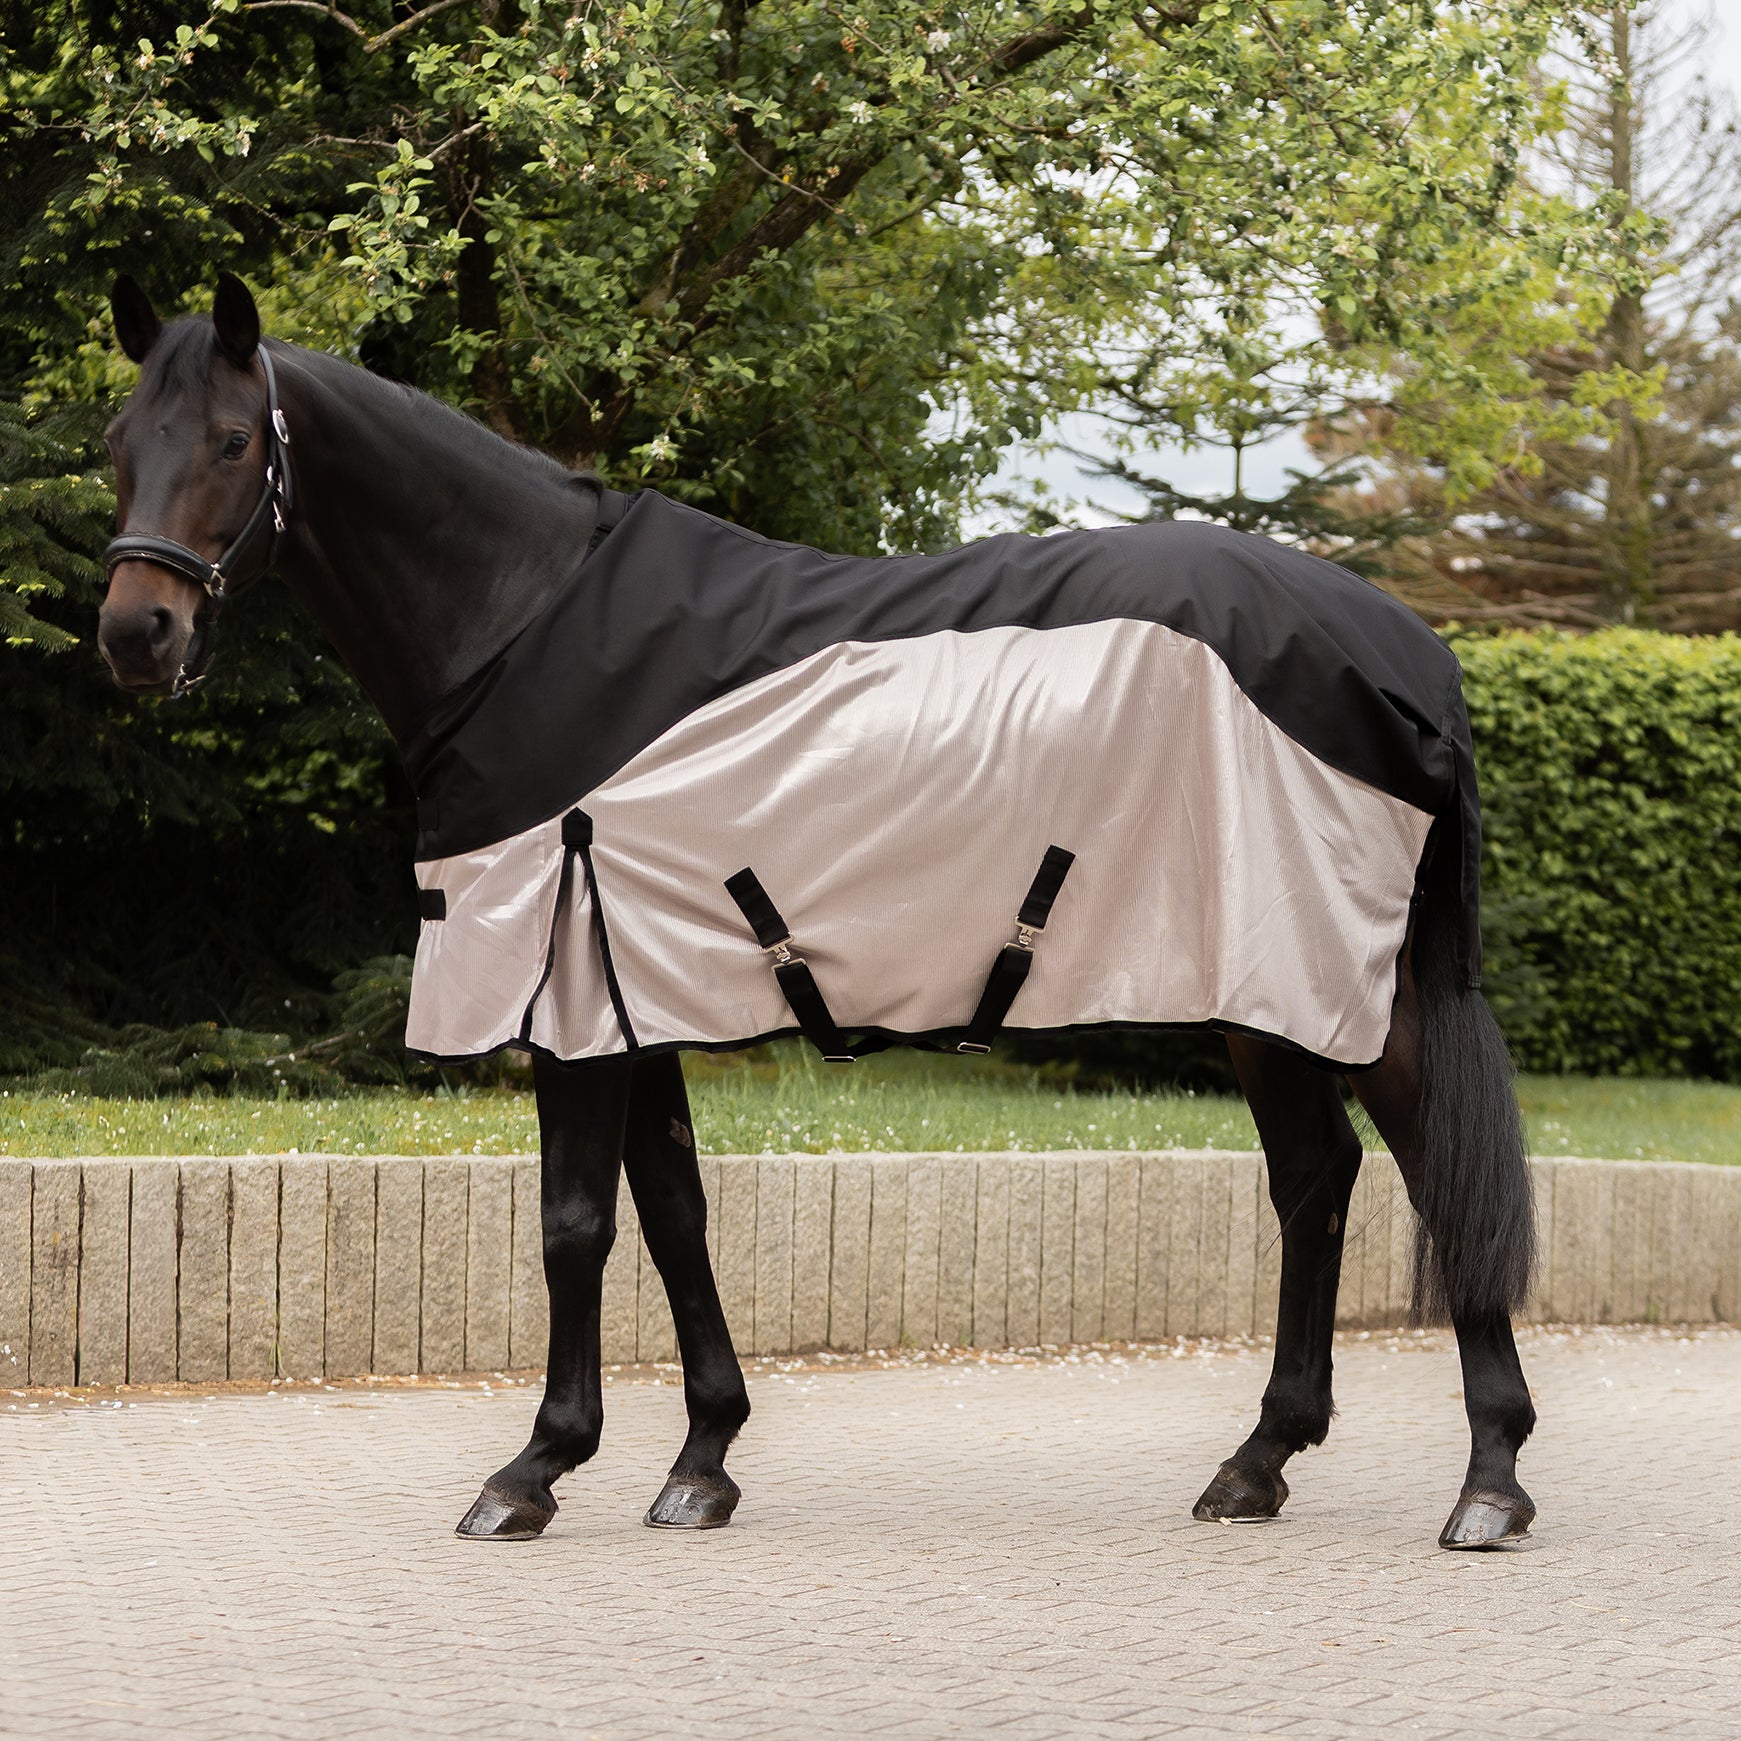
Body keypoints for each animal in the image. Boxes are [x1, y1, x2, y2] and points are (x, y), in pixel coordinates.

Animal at [95, 274, 1539, 1550]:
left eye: (233, 441)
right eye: (116, 446)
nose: (135, 634)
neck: (523, 630)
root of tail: (1404, 648)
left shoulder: (574, 995)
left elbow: (575, 1226)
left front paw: (533, 1470)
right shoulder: (636, 988)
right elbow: (674, 1212)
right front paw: (700, 1462)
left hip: (1332, 975)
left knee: (1429, 1169)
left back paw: (1487, 1482)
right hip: (1266, 988)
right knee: (1318, 1178)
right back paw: (1259, 1462)